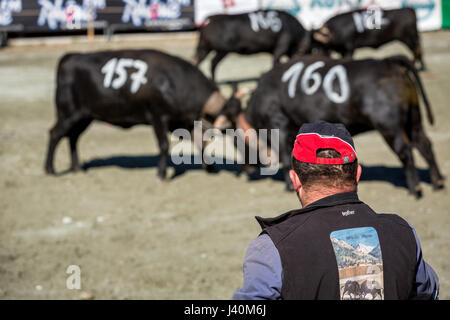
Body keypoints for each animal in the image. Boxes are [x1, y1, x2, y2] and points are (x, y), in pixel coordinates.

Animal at [44, 49, 229, 180]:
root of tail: (69, 57)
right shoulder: (158, 117)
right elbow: (163, 145)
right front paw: (161, 174)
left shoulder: (183, 121)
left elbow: (201, 142)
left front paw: (210, 168)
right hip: (68, 114)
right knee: (55, 134)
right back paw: (50, 169)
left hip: (84, 117)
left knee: (73, 137)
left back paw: (76, 168)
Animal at [216, 55, 444, 198]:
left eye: (235, 139)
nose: (244, 169)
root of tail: (388, 62)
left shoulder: (278, 125)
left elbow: (285, 157)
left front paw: (289, 186)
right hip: (413, 120)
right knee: (424, 144)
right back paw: (438, 181)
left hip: (390, 127)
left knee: (406, 151)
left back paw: (415, 188)